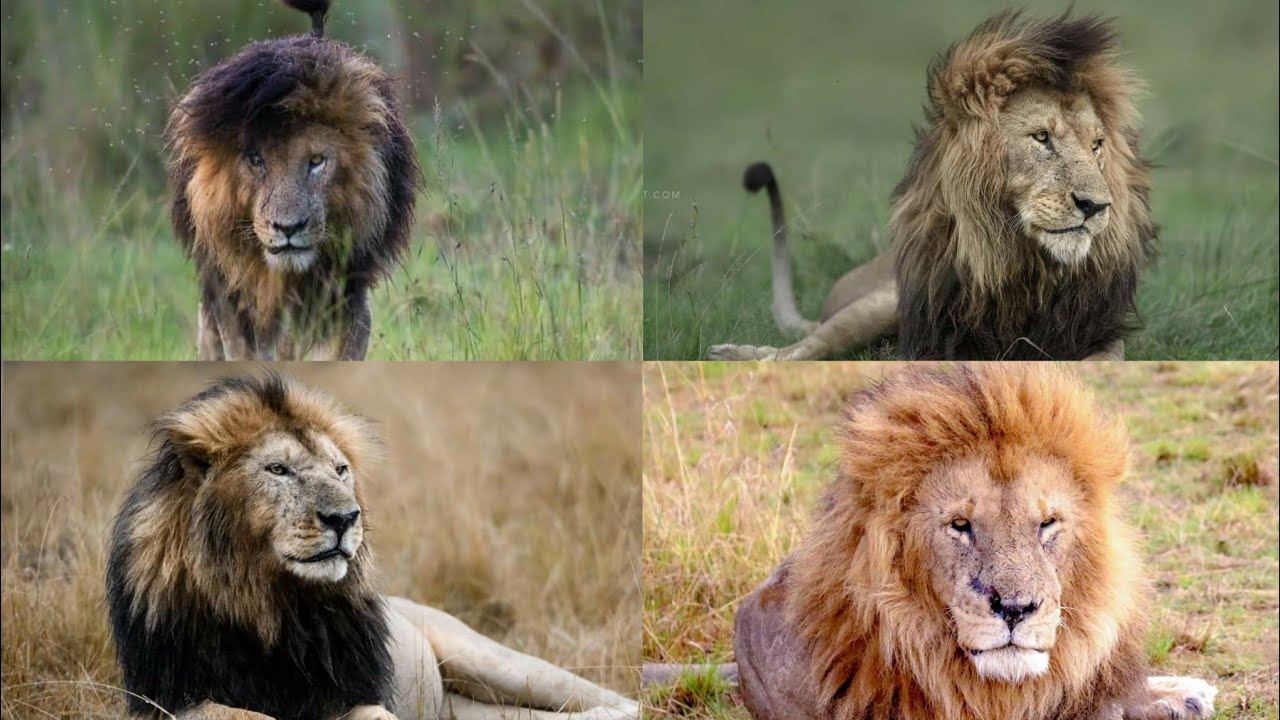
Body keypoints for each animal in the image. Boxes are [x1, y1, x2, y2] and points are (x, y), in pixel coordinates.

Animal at [106, 374, 640, 720]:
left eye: (340, 470)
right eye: (278, 470)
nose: (344, 518)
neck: (270, 604)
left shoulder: (351, 691)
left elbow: (373, 714)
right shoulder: (171, 698)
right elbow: (243, 715)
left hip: (495, 661)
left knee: (609, 699)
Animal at [708, 13, 1155, 361]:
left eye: (1096, 145)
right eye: (1041, 137)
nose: (1096, 206)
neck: (1024, 270)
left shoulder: (1097, 335)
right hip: (880, 303)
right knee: (805, 348)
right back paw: (738, 354)